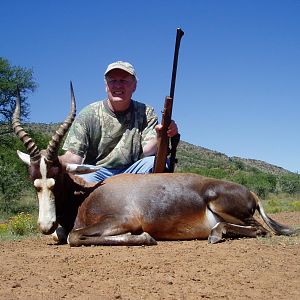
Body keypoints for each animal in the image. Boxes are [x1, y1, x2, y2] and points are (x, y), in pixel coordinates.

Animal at [12, 82, 294, 246]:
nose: (46, 226)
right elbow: (66, 234)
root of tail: (252, 193)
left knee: (260, 229)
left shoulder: (122, 219)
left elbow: (74, 236)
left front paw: (145, 237)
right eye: (35, 182)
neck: (87, 194)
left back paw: (215, 234)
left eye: (56, 178)